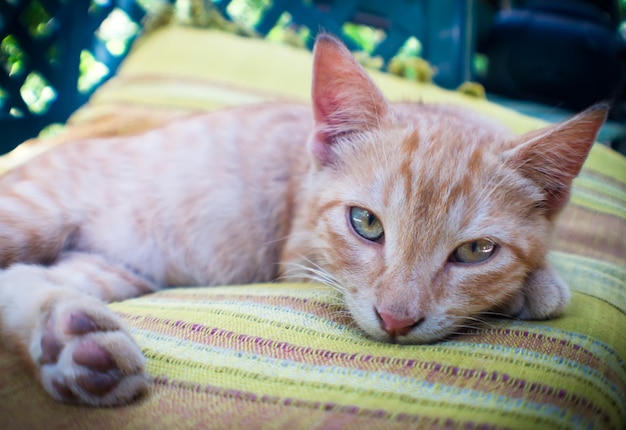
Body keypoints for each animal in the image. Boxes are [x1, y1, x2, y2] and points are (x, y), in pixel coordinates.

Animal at [0, 34, 604, 406]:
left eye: (476, 251)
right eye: (366, 224)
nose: (396, 320)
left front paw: (534, 282)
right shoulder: (298, 258)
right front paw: (535, 288)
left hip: (112, 270)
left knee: (24, 279)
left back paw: (74, 342)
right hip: (34, 213)